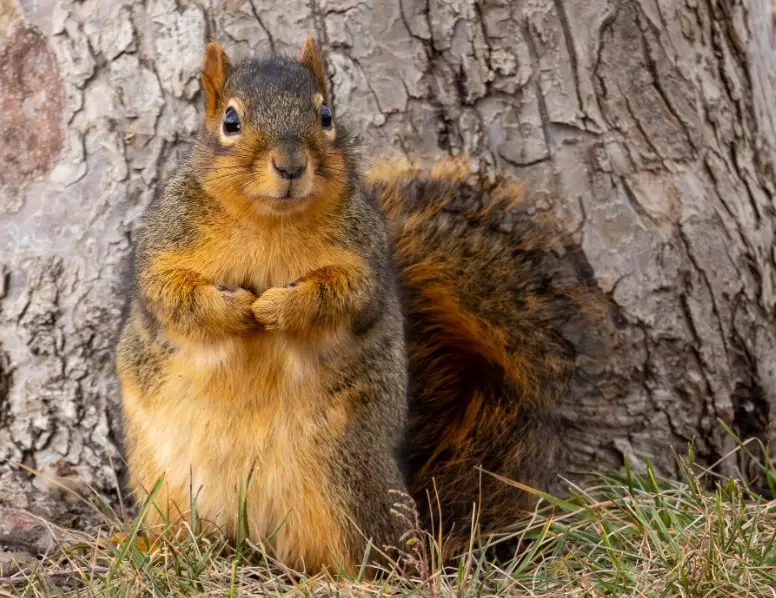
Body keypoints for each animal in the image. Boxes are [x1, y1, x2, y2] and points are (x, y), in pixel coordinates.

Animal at [115, 36, 607, 573]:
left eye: (326, 114)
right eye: (230, 121)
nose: (291, 166)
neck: (270, 221)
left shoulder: (364, 256)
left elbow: (341, 295)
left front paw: (276, 308)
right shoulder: (165, 242)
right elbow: (170, 293)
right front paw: (236, 309)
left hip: (347, 479)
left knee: (371, 554)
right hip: (168, 490)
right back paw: (153, 550)